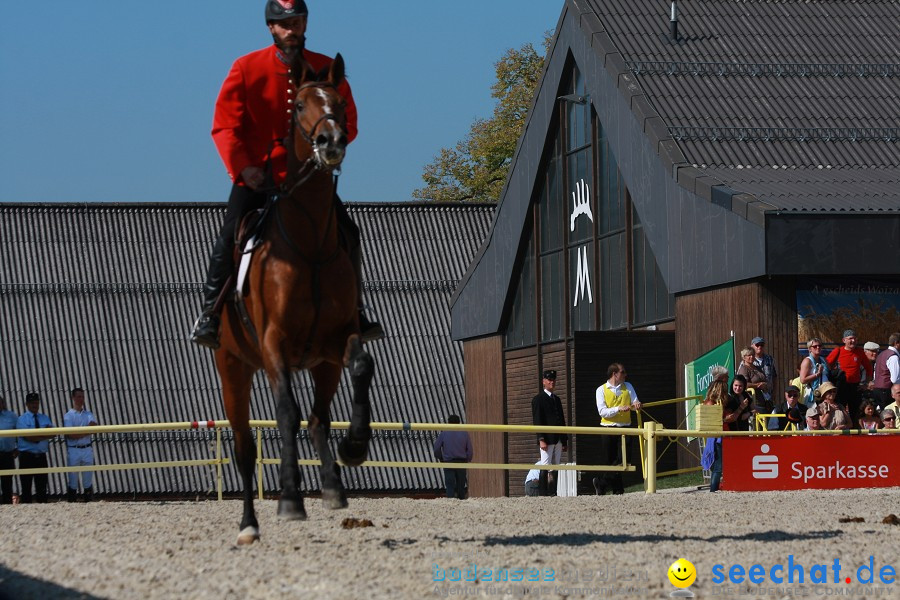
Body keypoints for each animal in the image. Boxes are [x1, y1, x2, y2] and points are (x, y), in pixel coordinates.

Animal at [214, 54, 372, 548]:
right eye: (299, 104)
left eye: (339, 101)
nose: (331, 141)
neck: (309, 242)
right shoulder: (273, 344)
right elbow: (286, 412)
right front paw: (289, 498)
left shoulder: (340, 337)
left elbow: (362, 366)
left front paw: (354, 446)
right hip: (233, 367)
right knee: (245, 446)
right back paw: (249, 524)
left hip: (321, 364)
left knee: (320, 418)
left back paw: (334, 487)